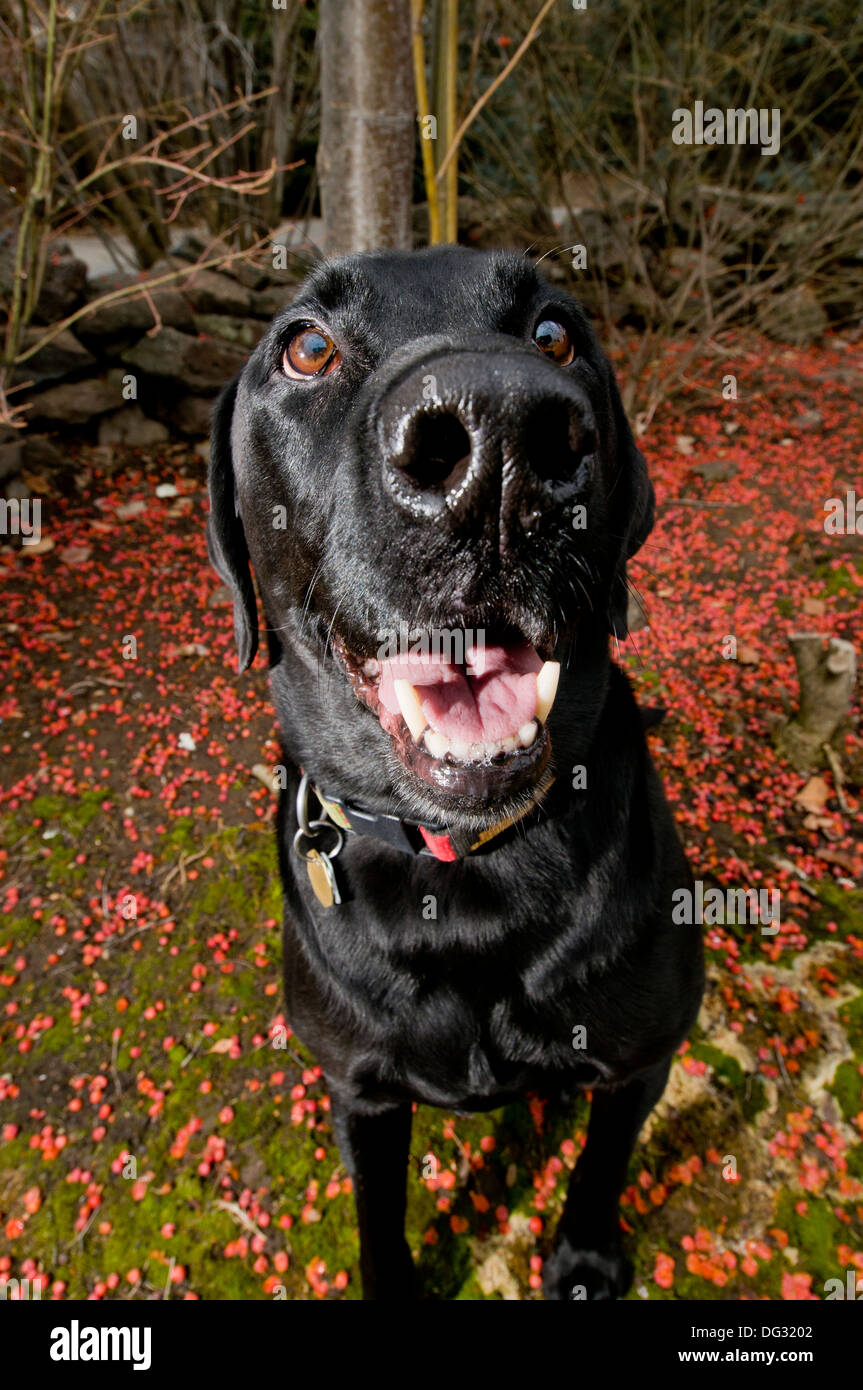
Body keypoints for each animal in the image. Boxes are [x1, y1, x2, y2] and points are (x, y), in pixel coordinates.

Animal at [205, 244, 703, 1295]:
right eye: (306, 347)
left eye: (554, 333)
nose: (501, 434)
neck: (465, 868)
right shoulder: (361, 1087)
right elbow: (376, 1204)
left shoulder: (643, 1056)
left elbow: (603, 1160)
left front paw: (584, 1254)